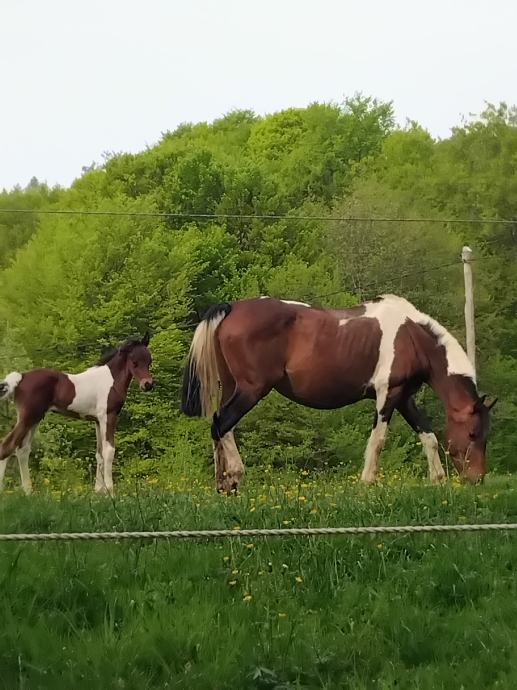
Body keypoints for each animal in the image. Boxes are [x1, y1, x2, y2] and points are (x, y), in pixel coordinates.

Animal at [0, 333, 153, 495]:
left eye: (149, 361)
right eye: (135, 362)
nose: (148, 385)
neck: (110, 380)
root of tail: (21, 377)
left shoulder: (97, 421)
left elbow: (99, 453)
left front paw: (98, 491)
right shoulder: (108, 416)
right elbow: (109, 451)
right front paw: (111, 492)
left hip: (34, 419)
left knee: (22, 450)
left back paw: (29, 492)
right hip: (28, 418)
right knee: (7, 446)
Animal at [181, 295, 497, 492]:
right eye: (472, 434)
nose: (477, 479)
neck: (413, 338)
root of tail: (232, 307)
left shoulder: (404, 397)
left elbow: (428, 435)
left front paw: (438, 480)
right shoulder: (388, 394)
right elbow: (379, 440)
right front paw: (368, 482)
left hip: (233, 387)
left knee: (220, 427)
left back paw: (222, 483)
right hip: (251, 389)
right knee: (222, 424)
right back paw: (234, 477)